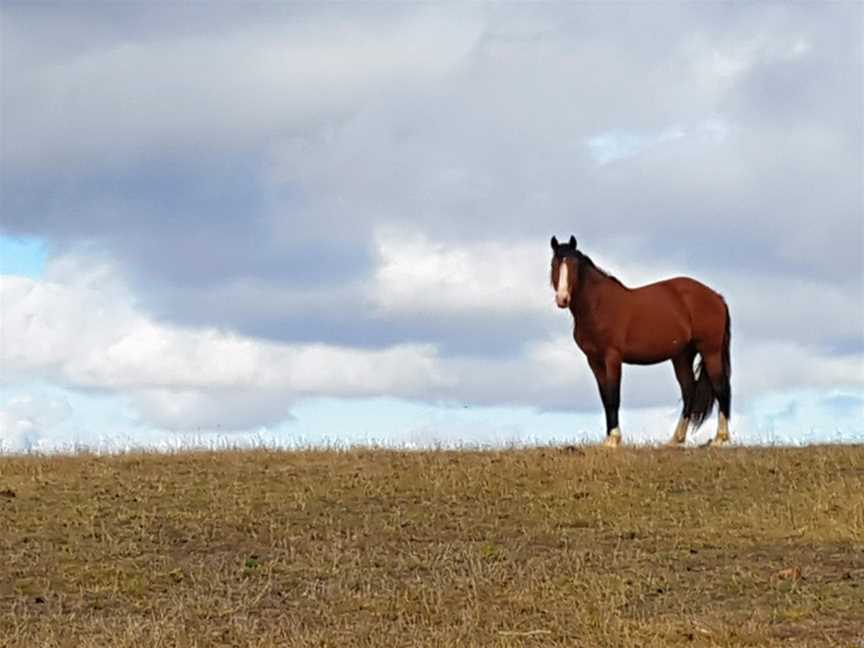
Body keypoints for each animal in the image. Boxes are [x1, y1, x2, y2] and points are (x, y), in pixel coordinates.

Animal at [552, 235, 728, 448]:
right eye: (554, 264)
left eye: (574, 265)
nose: (562, 299)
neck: (598, 305)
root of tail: (717, 297)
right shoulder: (594, 361)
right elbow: (605, 397)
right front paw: (608, 439)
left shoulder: (612, 358)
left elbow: (614, 397)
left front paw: (614, 440)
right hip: (682, 356)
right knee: (689, 390)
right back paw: (675, 440)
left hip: (710, 351)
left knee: (721, 387)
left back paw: (719, 439)